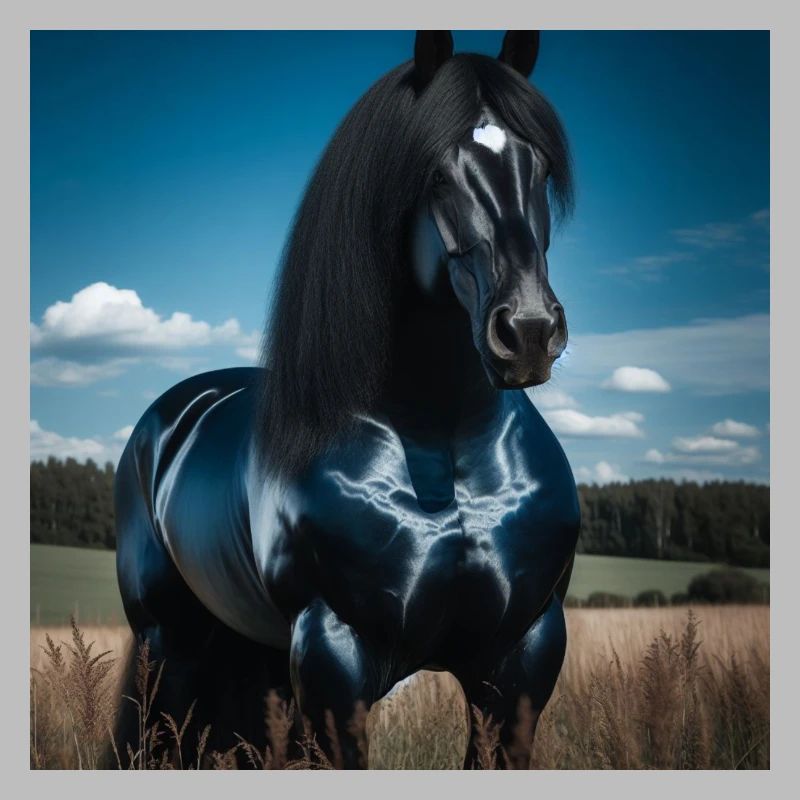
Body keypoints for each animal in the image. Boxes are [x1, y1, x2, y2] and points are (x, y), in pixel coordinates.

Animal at [113, 30, 580, 769]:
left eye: (536, 166)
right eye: (434, 171)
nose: (529, 330)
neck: (446, 447)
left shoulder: (521, 659)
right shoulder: (336, 659)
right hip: (170, 649)